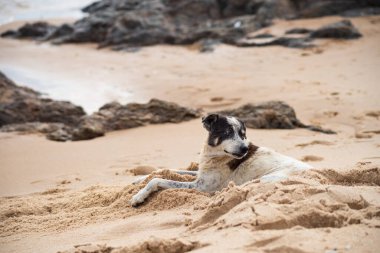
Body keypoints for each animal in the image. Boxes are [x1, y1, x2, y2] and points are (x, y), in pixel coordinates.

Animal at [131, 113, 312, 207]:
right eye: (227, 132)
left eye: (242, 134)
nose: (244, 149)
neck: (215, 155)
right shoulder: (201, 174)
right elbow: (164, 171)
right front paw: (138, 179)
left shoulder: (201, 186)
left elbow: (157, 180)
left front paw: (138, 197)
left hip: (265, 179)